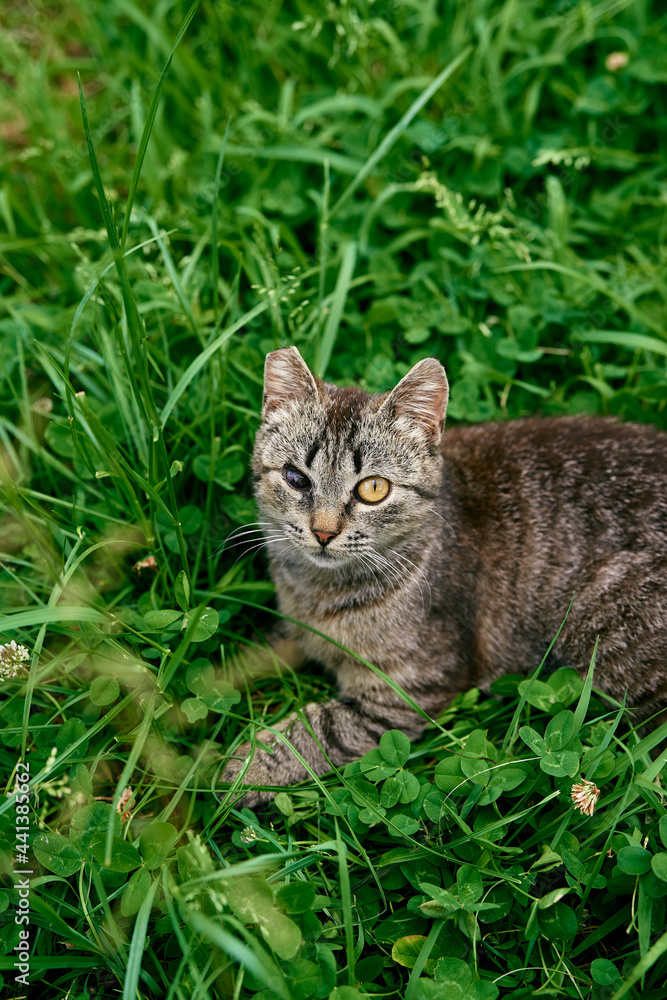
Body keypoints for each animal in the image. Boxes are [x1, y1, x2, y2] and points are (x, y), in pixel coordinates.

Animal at [222, 348, 667, 800]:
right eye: (295, 478)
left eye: (373, 489)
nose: (324, 532)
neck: (317, 592)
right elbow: (244, 660)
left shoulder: (410, 688)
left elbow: (321, 728)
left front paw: (249, 765)